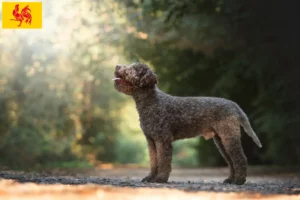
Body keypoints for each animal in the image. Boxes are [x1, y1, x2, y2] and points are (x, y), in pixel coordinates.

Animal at [113, 62, 262, 184]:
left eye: (133, 69)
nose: (117, 66)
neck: (151, 102)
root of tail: (233, 105)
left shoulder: (163, 140)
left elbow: (163, 161)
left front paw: (160, 179)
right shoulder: (151, 140)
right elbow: (154, 161)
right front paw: (150, 177)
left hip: (229, 137)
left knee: (240, 159)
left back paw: (239, 181)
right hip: (221, 141)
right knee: (231, 161)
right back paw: (230, 180)